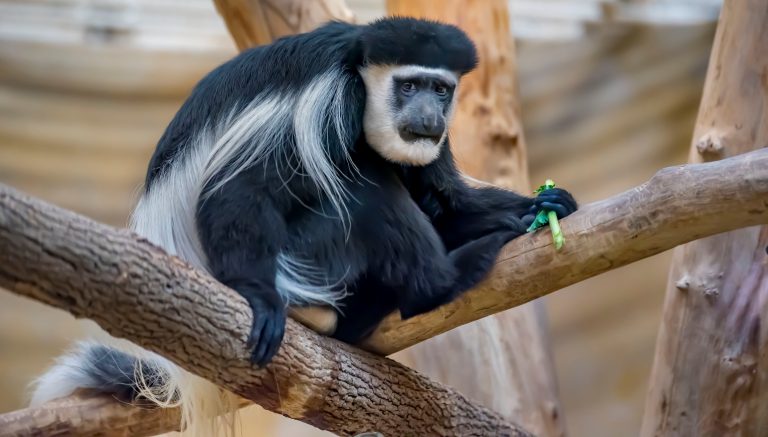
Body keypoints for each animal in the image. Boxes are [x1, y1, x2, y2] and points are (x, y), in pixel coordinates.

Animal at [30, 17, 577, 434]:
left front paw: (541, 204)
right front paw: (258, 298)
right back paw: (442, 280)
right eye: (409, 86)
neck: (359, 70)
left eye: (440, 89)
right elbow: (240, 189)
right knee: (363, 185)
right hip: (307, 260)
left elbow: (442, 200)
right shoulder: (327, 100)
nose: (427, 116)